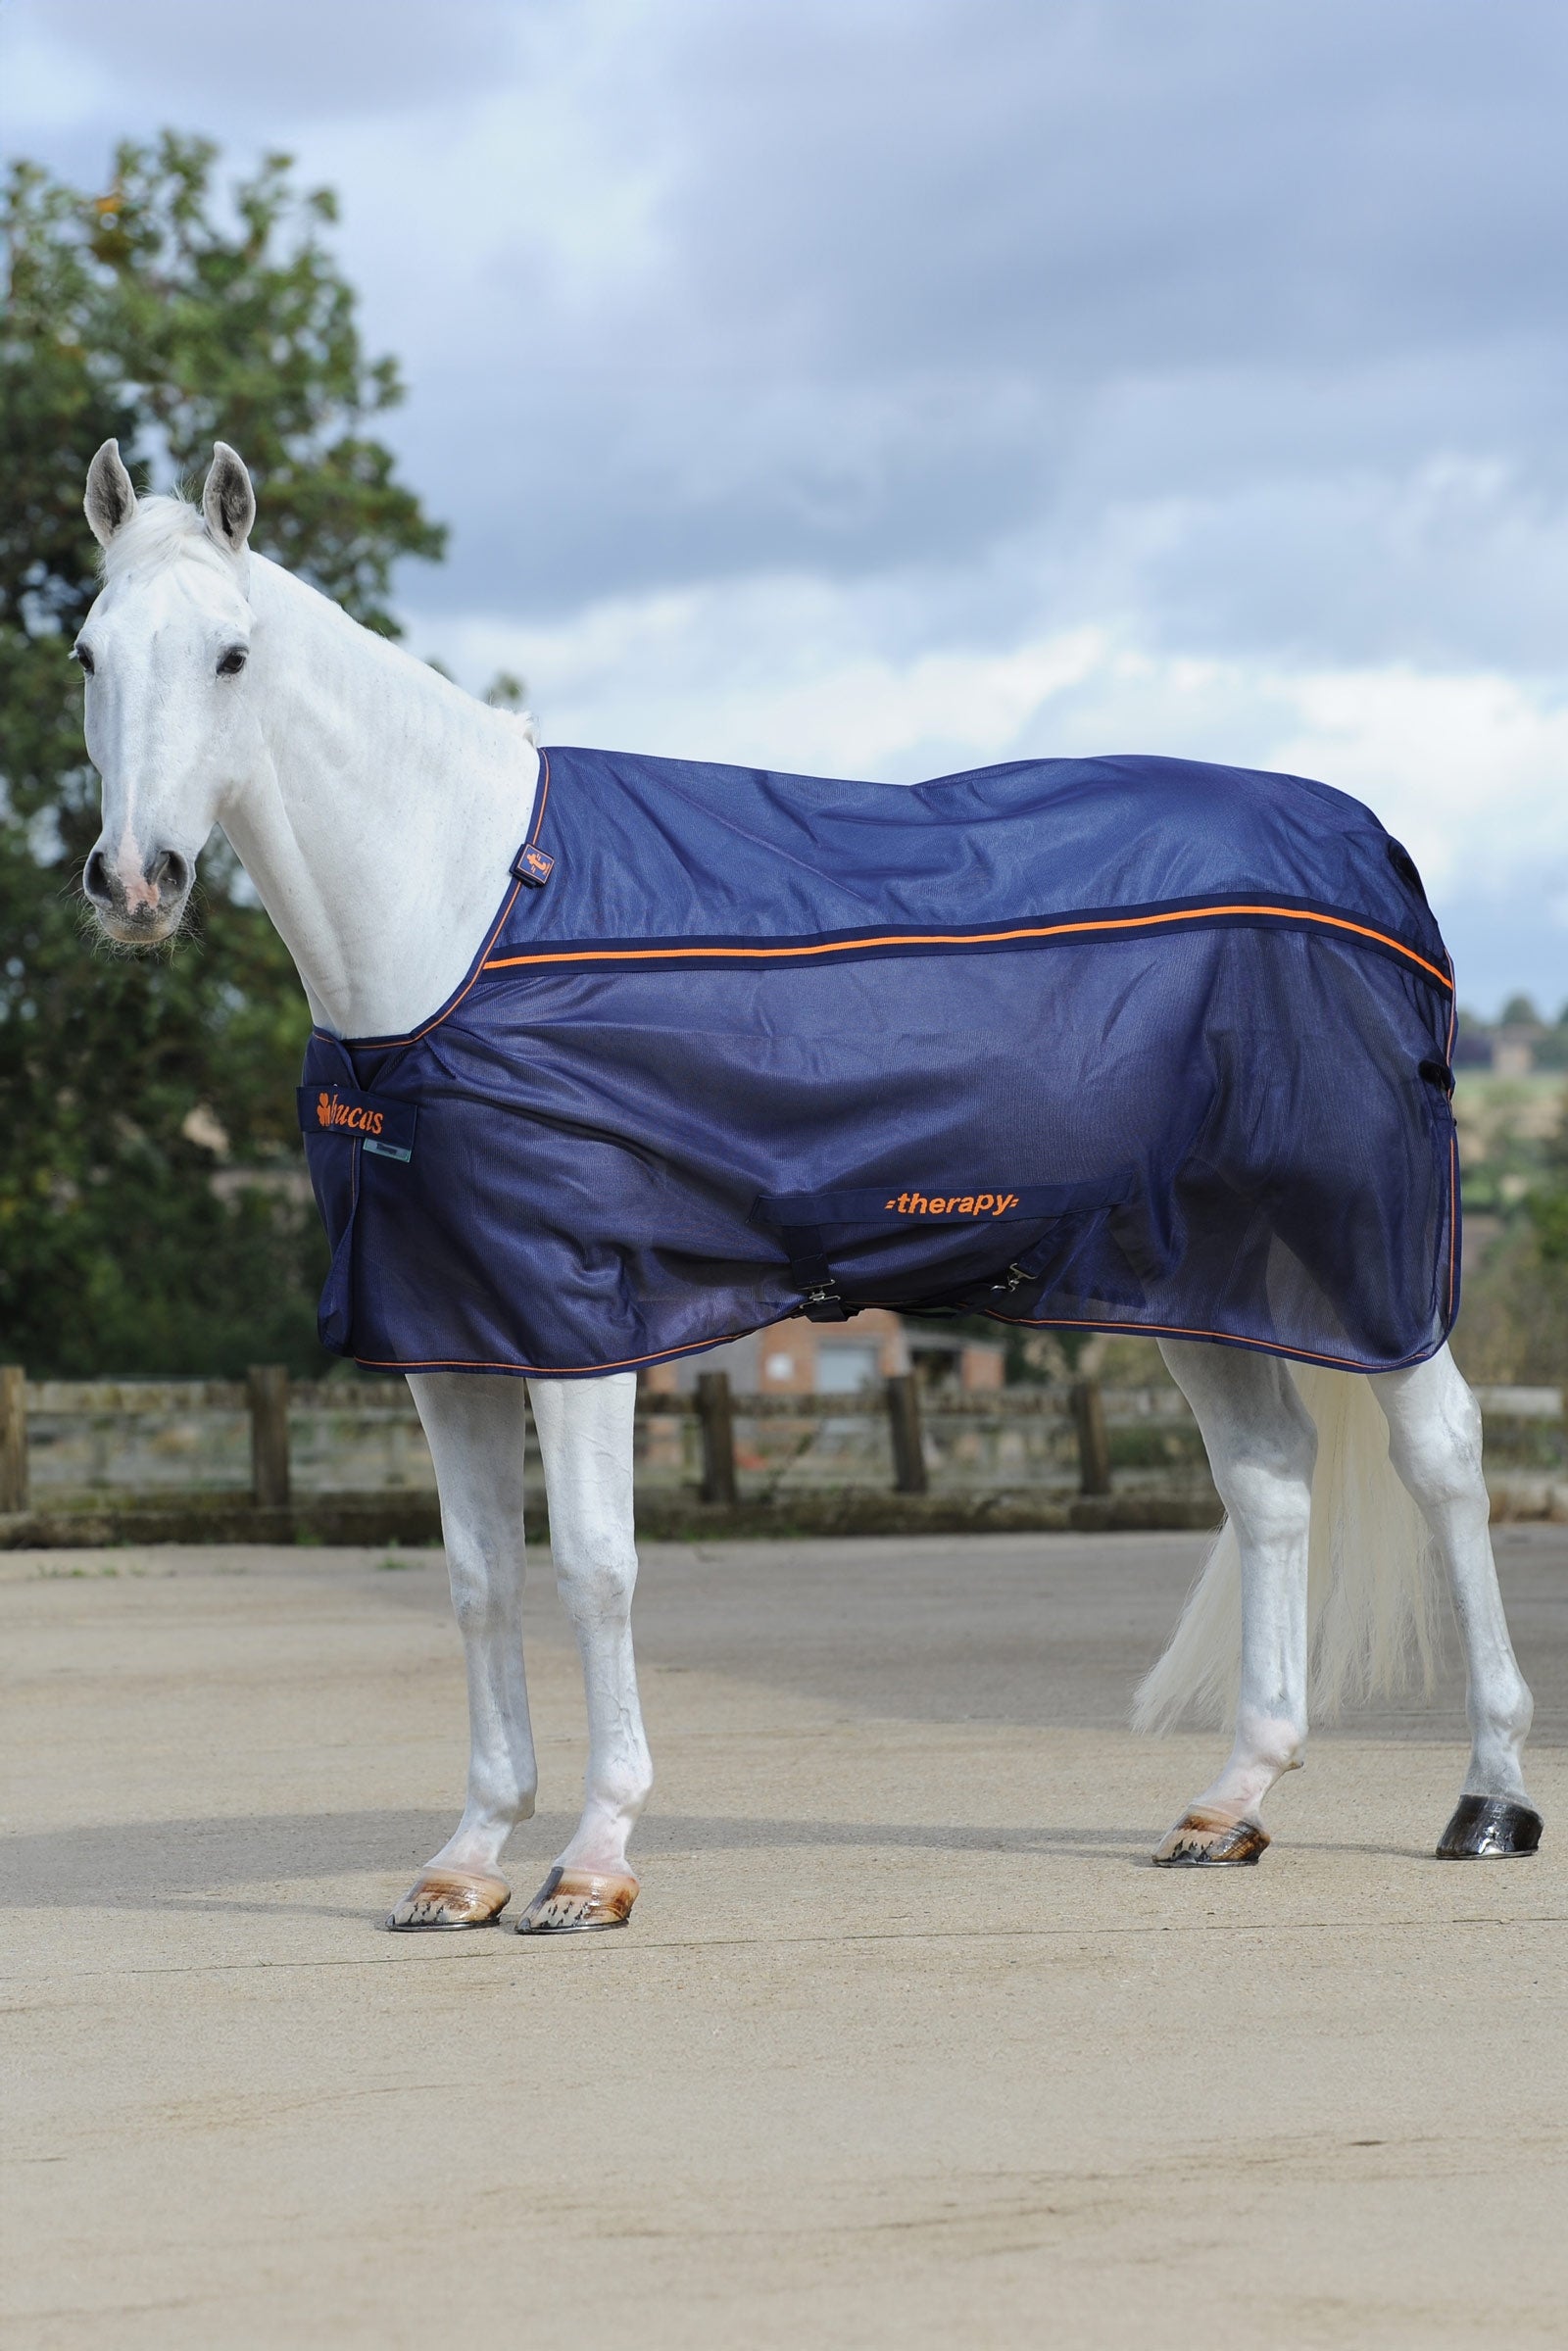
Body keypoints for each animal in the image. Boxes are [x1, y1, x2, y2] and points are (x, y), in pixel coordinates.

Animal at [70, 438, 1542, 1932]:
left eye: (233, 655)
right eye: (87, 653)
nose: (135, 882)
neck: (462, 916)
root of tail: (1375, 855)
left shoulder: (580, 1320)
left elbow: (594, 1568)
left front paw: (593, 1859)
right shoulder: (446, 1328)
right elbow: (481, 1582)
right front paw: (467, 1858)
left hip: (1364, 1246)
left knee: (1443, 1460)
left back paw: (1488, 1796)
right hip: (1187, 1271)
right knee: (1271, 1484)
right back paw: (1229, 1801)